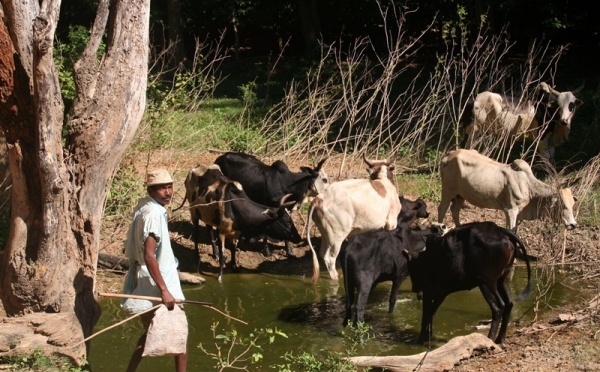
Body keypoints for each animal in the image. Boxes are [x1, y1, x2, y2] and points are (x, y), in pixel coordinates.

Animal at [438, 150, 580, 231]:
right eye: (563, 205)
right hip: (448, 190)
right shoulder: (511, 211)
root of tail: (448, 155)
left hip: (460, 194)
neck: (529, 186)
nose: (573, 224)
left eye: (573, 205)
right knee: (442, 209)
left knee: (455, 210)